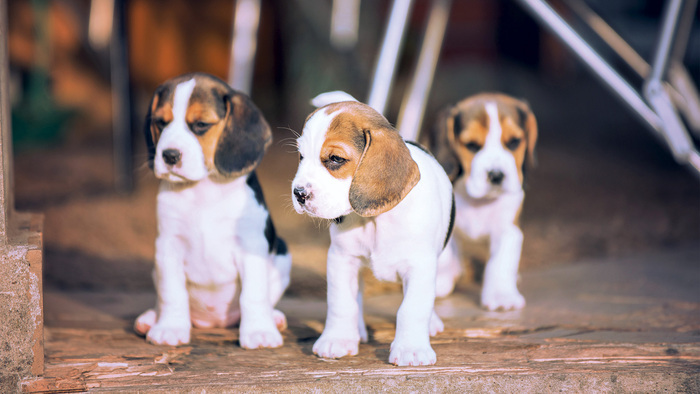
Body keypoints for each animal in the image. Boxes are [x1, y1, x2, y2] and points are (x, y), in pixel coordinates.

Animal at [135, 73, 292, 348]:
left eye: (200, 125)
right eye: (161, 123)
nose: (169, 155)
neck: (203, 190)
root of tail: (214, 323)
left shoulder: (251, 247)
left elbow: (253, 294)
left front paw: (259, 332)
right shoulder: (168, 246)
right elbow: (171, 293)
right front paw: (169, 327)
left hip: (282, 254)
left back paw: (273, 318)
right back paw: (151, 318)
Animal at [290, 91, 454, 364]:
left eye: (335, 159)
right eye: (301, 156)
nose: (299, 193)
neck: (375, 220)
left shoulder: (420, 266)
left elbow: (412, 308)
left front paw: (411, 349)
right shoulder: (341, 259)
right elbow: (342, 303)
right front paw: (337, 340)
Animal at [424, 92, 540, 310]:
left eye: (514, 142)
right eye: (471, 145)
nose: (496, 175)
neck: (479, 201)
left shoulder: (508, 229)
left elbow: (500, 262)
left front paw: (501, 296)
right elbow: (447, 253)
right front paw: (442, 279)